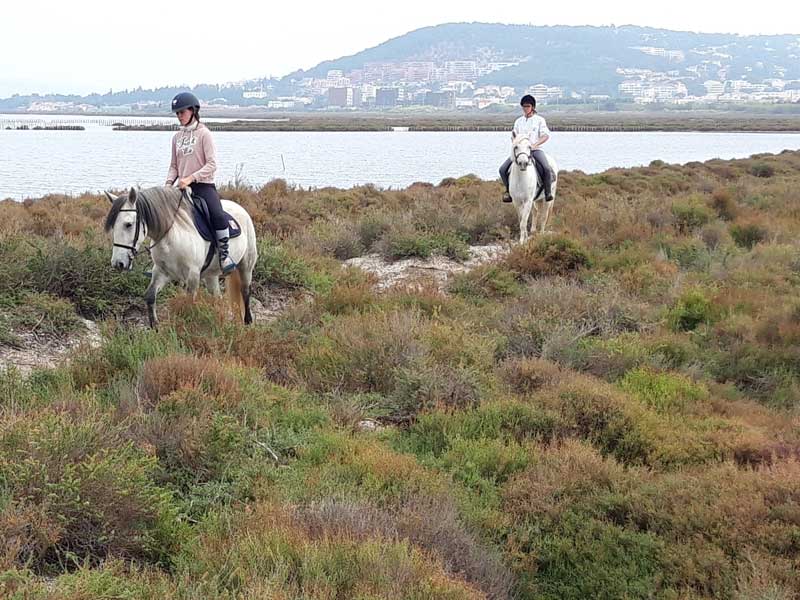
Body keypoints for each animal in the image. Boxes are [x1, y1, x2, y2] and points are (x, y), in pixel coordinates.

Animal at [104, 186, 258, 328]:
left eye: (128, 224)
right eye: (113, 226)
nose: (118, 263)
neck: (171, 236)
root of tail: (240, 208)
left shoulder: (193, 275)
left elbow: (189, 303)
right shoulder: (161, 272)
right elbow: (150, 296)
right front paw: (155, 327)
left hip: (245, 266)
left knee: (245, 291)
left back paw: (248, 322)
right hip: (211, 275)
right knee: (217, 297)